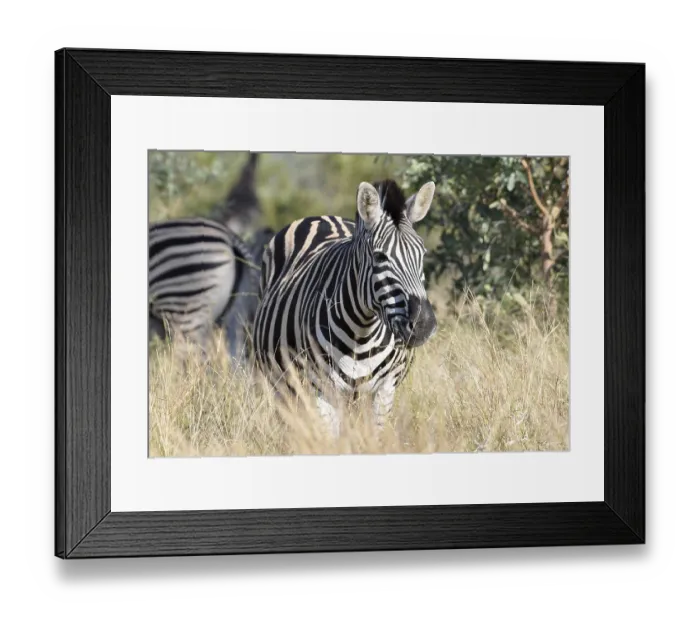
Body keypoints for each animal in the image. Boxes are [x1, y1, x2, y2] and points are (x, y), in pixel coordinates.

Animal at [252, 178, 437, 437]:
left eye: (422, 254)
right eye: (380, 257)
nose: (423, 324)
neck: (362, 332)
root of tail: (322, 216)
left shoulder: (385, 389)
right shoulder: (321, 389)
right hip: (284, 386)